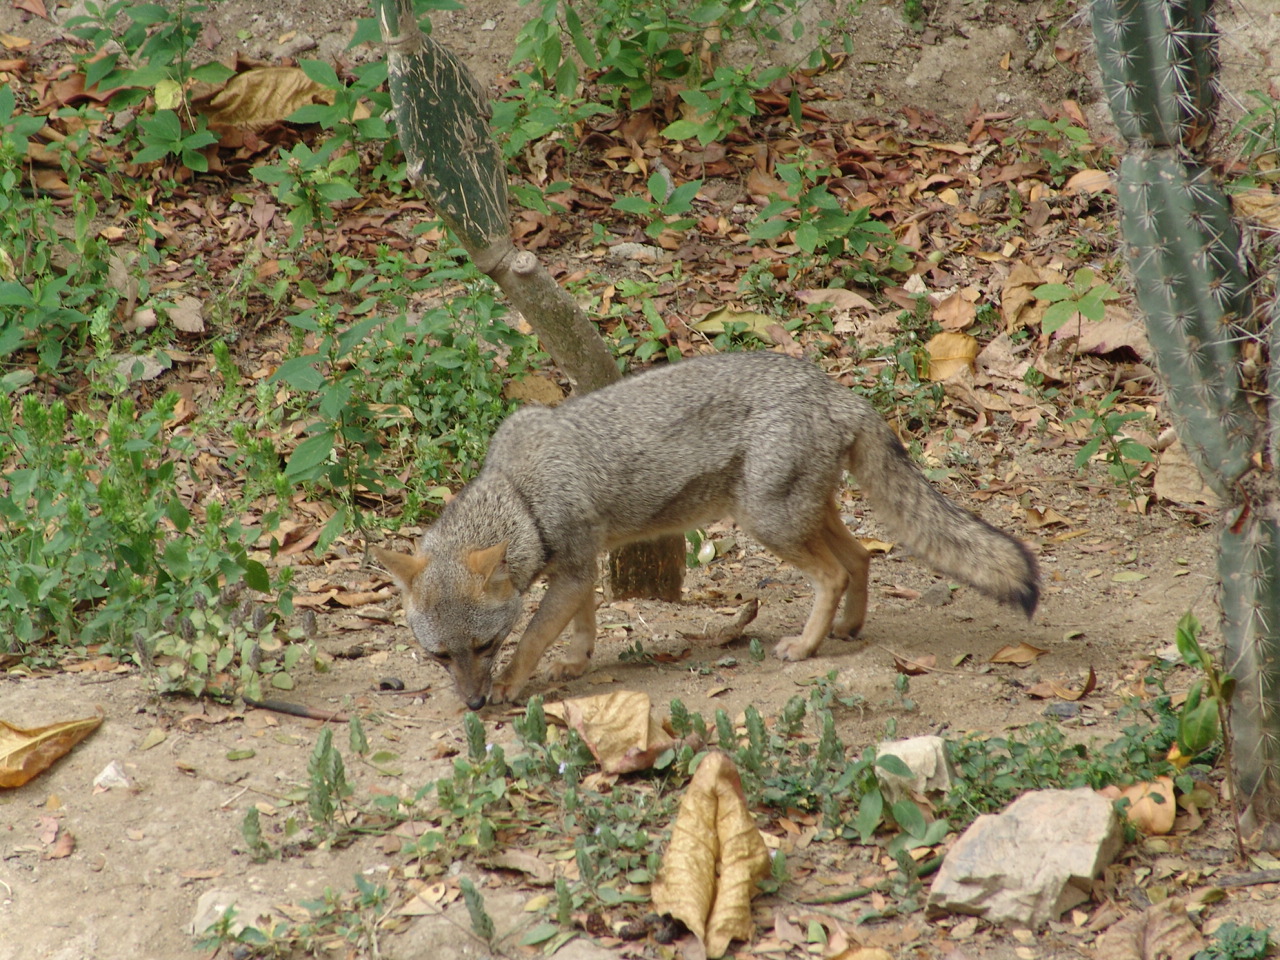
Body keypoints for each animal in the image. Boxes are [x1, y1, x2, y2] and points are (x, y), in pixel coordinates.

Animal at [373, 351, 1038, 710]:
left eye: (485, 647)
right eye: (439, 656)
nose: (472, 703)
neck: (520, 491)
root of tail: (838, 391)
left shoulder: (575, 567)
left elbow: (535, 634)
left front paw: (515, 683)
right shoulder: (580, 569)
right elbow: (580, 626)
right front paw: (576, 664)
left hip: (768, 522)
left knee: (833, 572)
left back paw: (806, 646)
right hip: (798, 514)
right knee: (860, 558)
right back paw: (847, 630)